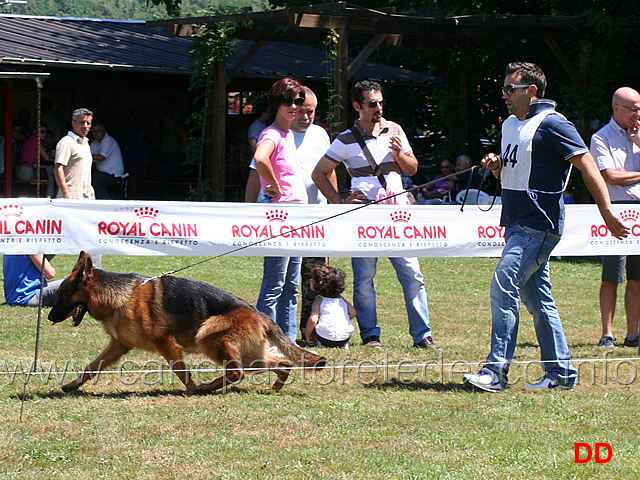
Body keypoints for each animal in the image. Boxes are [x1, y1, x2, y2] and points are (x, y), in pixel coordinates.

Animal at [48, 251, 328, 394]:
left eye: (61, 295)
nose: (50, 317)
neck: (120, 296)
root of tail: (260, 314)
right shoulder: (118, 345)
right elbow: (91, 368)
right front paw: (72, 385)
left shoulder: (166, 343)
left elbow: (180, 370)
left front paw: (191, 389)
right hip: (250, 354)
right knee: (281, 364)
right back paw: (275, 387)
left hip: (207, 336)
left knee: (236, 372)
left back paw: (207, 387)